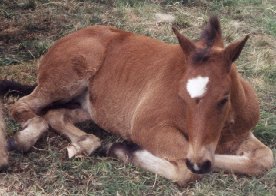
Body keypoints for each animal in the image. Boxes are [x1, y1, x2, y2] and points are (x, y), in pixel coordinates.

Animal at [7, 16, 272, 185]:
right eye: (180, 95)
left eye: (224, 98)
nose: (200, 163)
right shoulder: (147, 127)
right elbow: (186, 170)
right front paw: (122, 149)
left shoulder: (238, 136)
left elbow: (265, 159)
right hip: (65, 80)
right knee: (23, 107)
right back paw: (21, 140)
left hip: (92, 108)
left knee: (55, 114)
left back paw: (85, 143)